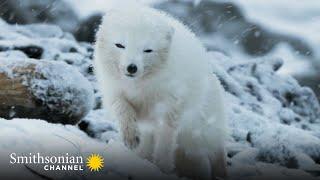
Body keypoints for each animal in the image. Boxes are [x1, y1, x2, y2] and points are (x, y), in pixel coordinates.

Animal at [94, 4, 228, 179]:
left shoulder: (172, 104)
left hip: (202, 132)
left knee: (217, 150)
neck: (139, 87)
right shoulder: (113, 91)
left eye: (147, 50)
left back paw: (221, 172)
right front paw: (131, 138)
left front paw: (162, 165)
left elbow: (166, 136)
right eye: (120, 45)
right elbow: (122, 108)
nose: (132, 67)